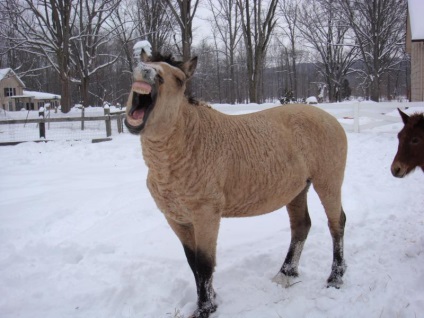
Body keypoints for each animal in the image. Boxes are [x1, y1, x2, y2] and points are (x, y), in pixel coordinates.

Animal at [123, 54, 348, 318]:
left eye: (178, 79)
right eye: (147, 64)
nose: (146, 71)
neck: (191, 146)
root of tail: (330, 119)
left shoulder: (206, 216)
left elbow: (205, 264)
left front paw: (205, 308)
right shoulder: (177, 219)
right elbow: (193, 263)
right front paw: (210, 301)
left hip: (328, 183)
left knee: (336, 224)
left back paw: (335, 277)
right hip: (297, 191)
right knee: (301, 226)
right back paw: (285, 274)